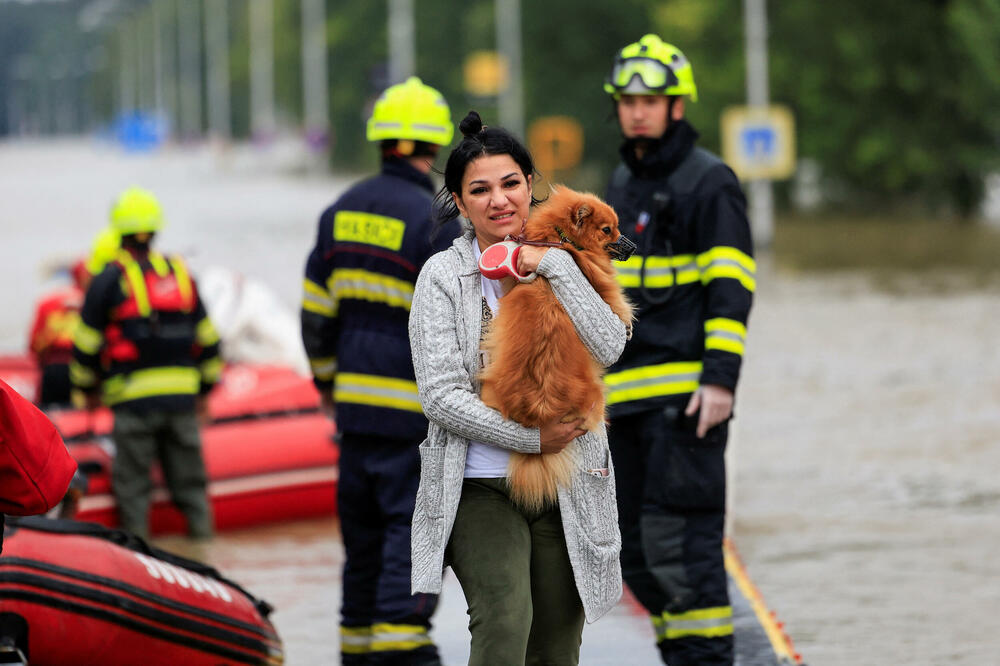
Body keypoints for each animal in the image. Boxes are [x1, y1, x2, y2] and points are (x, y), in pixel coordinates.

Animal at [478, 187, 632, 508]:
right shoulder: (601, 288)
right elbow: (619, 305)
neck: (561, 240)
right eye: (608, 230)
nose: (632, 245)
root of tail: (538, 410)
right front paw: (626, 324)